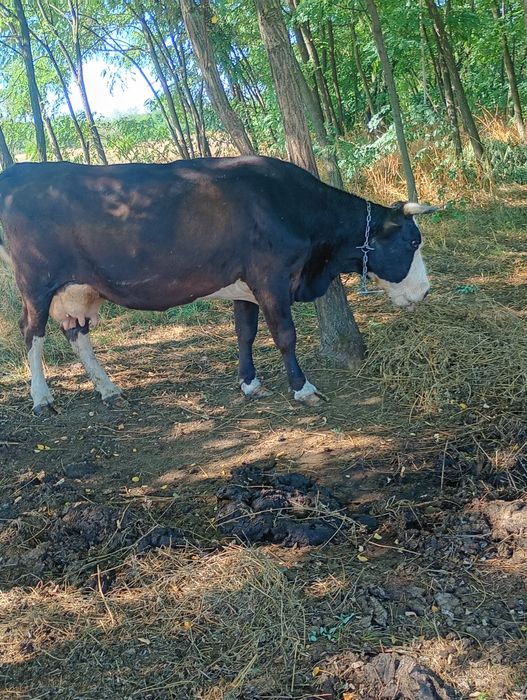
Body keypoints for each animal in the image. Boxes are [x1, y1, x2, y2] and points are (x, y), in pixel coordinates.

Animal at [0, 155, 435, 415]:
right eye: (412, 241)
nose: (426, 291)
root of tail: (21, 171)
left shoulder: (245, 285)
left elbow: (245, 333)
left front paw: (250, 383)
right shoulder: (270, 277)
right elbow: (285, 335)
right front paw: (303, 387)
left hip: (77, 289)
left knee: (76, 333)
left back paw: (108, 388)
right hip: (36, 283)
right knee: (31, 333)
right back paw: (41, 398)